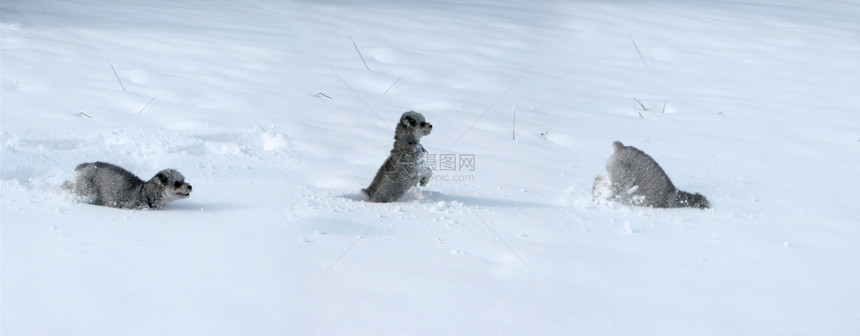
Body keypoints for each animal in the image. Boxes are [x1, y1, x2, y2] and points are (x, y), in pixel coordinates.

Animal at [62, 161, 191, 209]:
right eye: (177, 183)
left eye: (184, 179)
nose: (190, 186)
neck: (145, 194)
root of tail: (88, 164)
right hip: (85, 190)